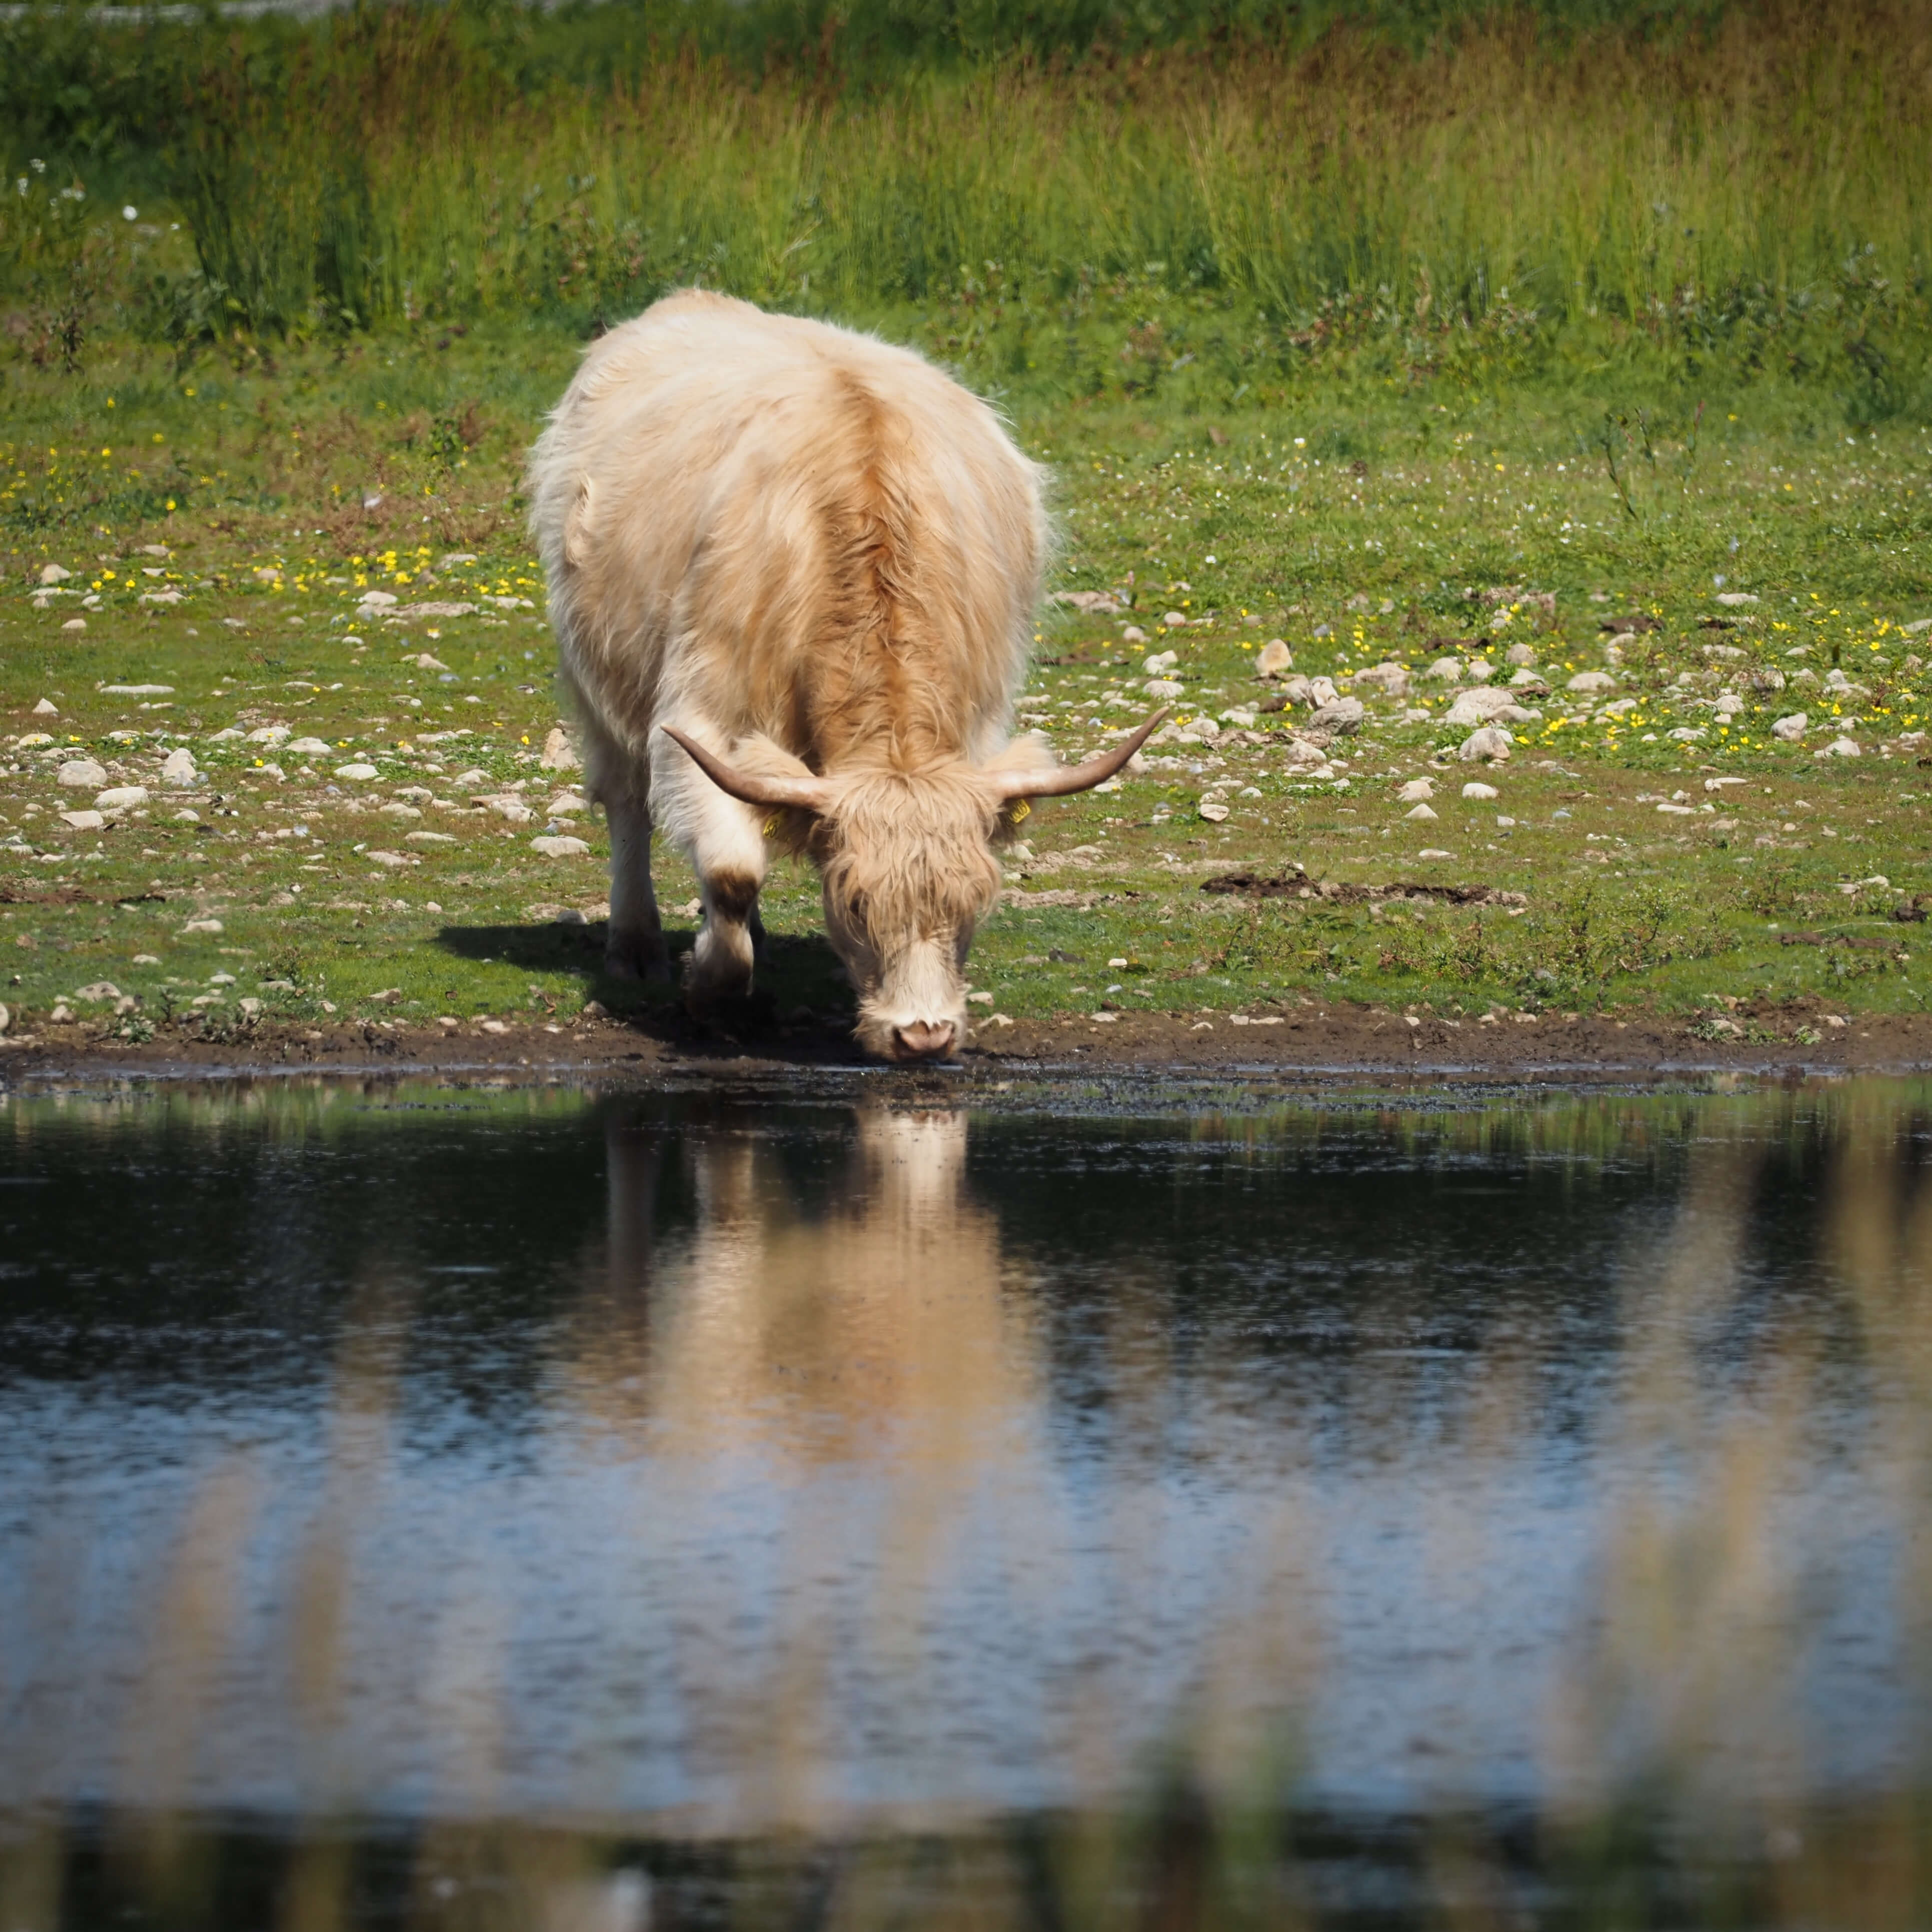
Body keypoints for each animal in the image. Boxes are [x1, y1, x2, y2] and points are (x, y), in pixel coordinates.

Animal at [528, 291, 1160, 1062]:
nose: (923, 1034)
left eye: (974, 906)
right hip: (596, 675)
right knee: (626, 802)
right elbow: (732, 872)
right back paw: (636, 944)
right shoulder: (701, 717)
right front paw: (712, 987)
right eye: (853, 904)